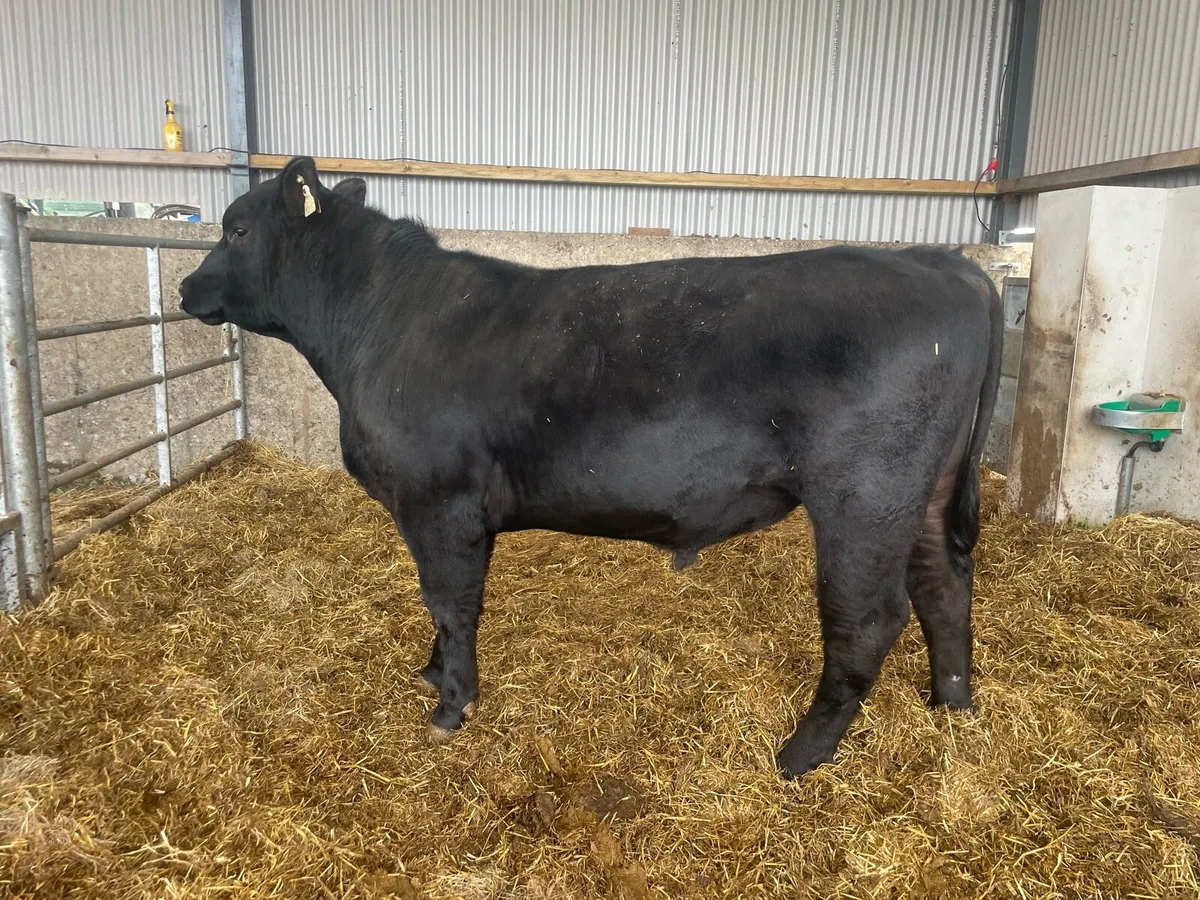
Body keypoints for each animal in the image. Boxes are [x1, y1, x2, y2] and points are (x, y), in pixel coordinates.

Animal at [180, 157, 1002, 779]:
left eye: (238, 227)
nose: (186, 288)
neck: (376, 328)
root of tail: (941, 266)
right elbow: (442, 603)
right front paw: (434, 673)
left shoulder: (437, 499)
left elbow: (450, 600)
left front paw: (450, 706)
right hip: (923, 492)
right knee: (943, 584)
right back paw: (951, 704)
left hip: (865, 495)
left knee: (868, 618)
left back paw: (800, 754)